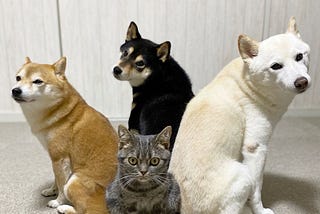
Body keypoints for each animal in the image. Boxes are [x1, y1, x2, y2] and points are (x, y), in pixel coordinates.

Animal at [11, 56, 119, 214]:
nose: (15, 90)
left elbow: (61, 184)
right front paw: (51, 190)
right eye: (18, 78)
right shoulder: (53, 157)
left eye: (37, 81)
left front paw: (57, 201)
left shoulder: (59, 158)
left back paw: (64, 207)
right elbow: (56, 180)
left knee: (86, 211)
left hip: (74, 181)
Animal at [169, 17, 312, 214]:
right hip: (243, 175)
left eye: (299, 56)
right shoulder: (256, 149)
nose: (301, 82)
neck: (248, 84)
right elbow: (257, 191)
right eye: (276, 66)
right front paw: (260, 210)